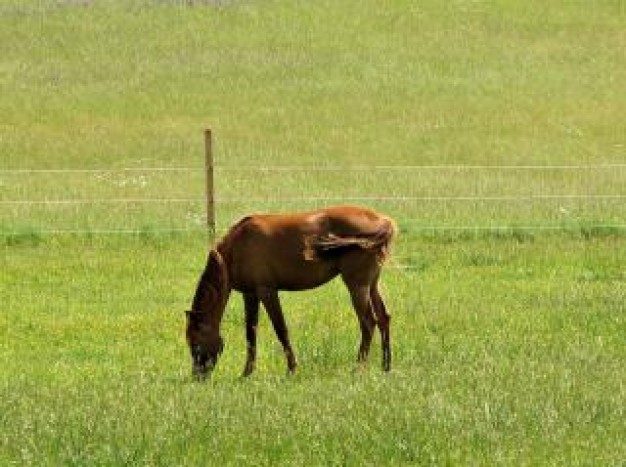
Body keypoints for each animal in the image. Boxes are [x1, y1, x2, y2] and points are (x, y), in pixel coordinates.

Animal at [183, 205, 394, 380]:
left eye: (195, 344)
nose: (198, 377)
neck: (237, 247)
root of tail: (384, 222)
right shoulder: (250, 294)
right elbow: (251, 332)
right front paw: (247, 373)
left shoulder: (267, 291)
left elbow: (281, 330)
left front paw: (292, 369)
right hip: (372, 286)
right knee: (383, 318)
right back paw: (386, 366)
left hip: (357, 286)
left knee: (368, 323)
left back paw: (358, 368)